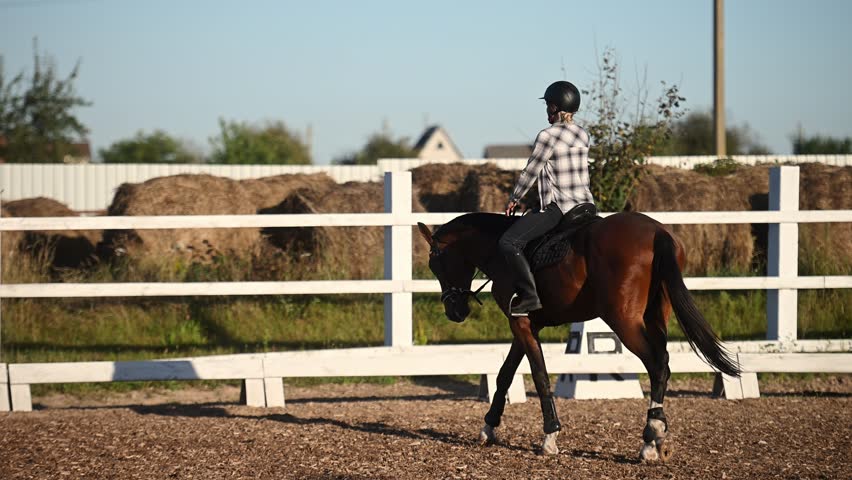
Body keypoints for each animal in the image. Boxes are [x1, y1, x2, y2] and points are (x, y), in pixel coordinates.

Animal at [416, 210, 741, 460]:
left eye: (435, 262)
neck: (498, 249)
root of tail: (657, 231)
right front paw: (488, 427)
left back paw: (649, 440)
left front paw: (550, 437)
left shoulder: (520, 324)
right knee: (662, 364)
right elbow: (505, 374)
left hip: (624, 320)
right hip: (656, 315)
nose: (454, 311)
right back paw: (658, 433)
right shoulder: (526, 324)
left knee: (658, 363)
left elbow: (540, 376)